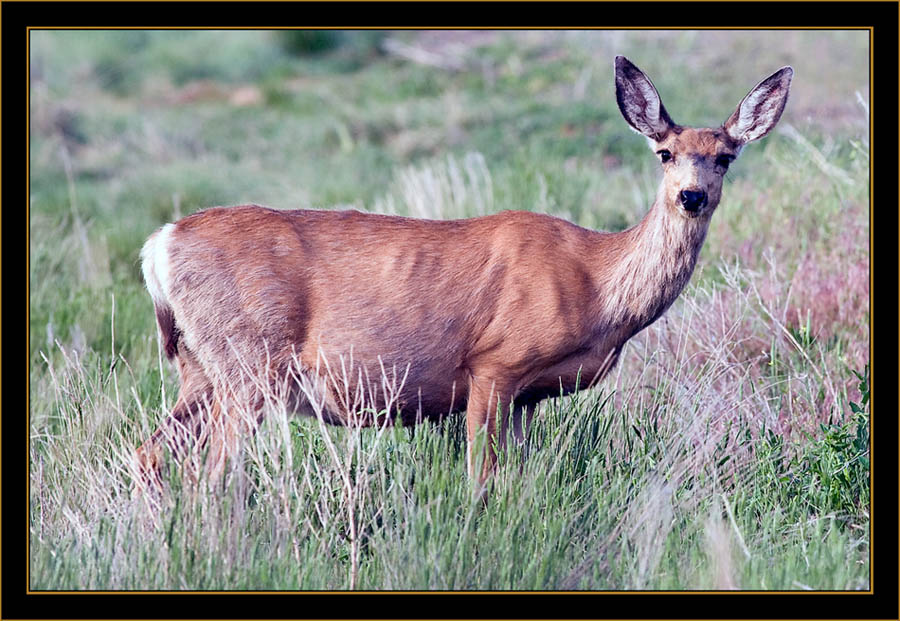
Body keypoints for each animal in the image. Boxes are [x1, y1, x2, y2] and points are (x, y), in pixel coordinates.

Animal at [132, 57, 788, 494]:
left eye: (726, 156)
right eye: (664, 153)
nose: (692, 196)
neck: (597, 284)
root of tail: (159, 245)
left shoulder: (530, 395)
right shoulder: (495, 362)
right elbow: (481, 481)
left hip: (201, 367)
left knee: (151, 455)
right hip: (249, 361)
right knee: (213, 476)